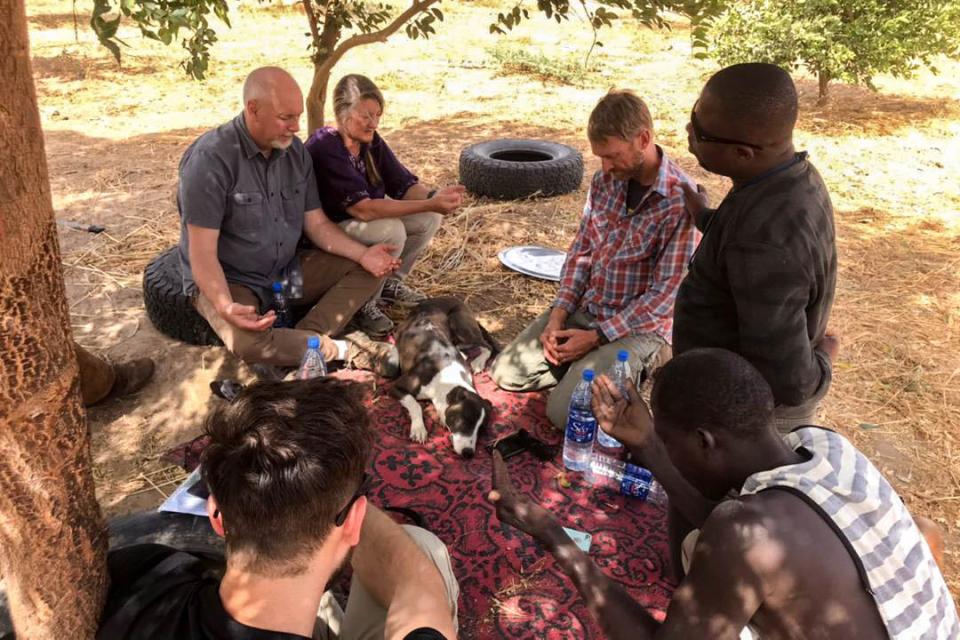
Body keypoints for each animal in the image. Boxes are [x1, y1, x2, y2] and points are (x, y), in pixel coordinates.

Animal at [392, 298, 498, 458]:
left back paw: (477, 362)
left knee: (484, 345)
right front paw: (419, 429)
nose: (469, 454)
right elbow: (416, 405)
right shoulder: (396, 386)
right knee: (483, 344)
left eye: (482, 430)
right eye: (465, 421)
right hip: (458, 323)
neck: (447, 380)